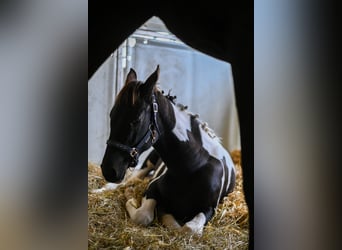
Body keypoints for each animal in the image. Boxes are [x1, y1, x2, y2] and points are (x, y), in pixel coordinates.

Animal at [100, 66, 236, 234]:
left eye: (136, 120)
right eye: (112, 115)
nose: (108, 170)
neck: (192, 167)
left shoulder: (209, 208)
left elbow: (188, 229)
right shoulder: (152, 187)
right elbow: (143, 216)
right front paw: (130, 196)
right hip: (149, 163)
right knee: (133, 177)